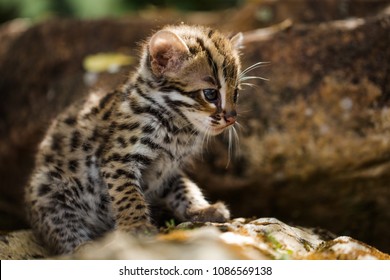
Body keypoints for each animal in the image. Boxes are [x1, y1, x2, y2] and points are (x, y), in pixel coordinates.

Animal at [24, 25, 242, 255]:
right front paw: (136, 226)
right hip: (46, 189)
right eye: (210, 94)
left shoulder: (168, 170)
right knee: (63, 230)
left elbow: (184, 187)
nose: (232, 118)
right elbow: (127, 194)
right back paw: (85, 248)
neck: (179, 128)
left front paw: (203, 209)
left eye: (236, 93)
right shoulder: (119, 159)